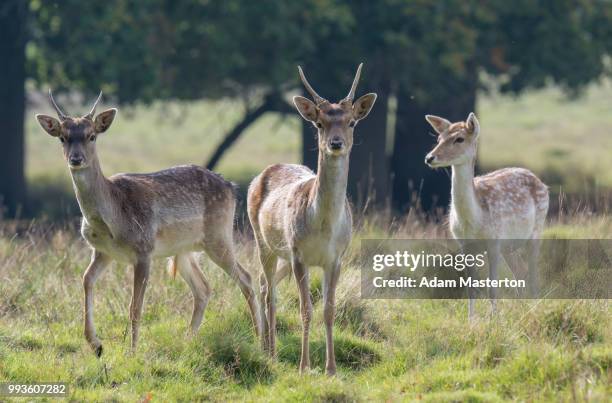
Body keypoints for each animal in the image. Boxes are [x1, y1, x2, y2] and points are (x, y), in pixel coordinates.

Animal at [35, 91, 260, 356]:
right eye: (63, 137)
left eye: (92, 135)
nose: (76, 158)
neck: (111, 220)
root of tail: (232, 188)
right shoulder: (102, 251)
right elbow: (86, 280)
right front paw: (96, 345)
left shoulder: (144, 250)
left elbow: (135, 306)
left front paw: (132, 352)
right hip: (185, 249)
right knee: (204, 288)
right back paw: (187, 341)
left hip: (219, 235)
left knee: (246, 277)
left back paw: (261, 339)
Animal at [246, 63, 376, 376]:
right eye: (319, 124)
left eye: (352, 122)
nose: (336, 143)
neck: (324, 227)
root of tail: (260, 175)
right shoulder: (298, 254)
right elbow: (306, 309)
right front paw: (304, 366)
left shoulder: (337, 257)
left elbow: (329, 309)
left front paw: (331, 368)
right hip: (262, 240)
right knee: (268, 291)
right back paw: (270, 351)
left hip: (281, 254)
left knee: (265, 283)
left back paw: (266, 346)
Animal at [426, 112, 548, 320]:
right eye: (439, 138)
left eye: (459, 139)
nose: (429, 157)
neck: (474, 220)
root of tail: (542, 183)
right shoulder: (464, 244)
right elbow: (471, 288)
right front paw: (471, 321)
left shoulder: (494, 240)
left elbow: (493, 287)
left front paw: (494, 320)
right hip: (509, 246)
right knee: (520, 272)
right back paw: (522, 309)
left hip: (536, 229)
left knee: (533, 274)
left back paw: (533, 310)